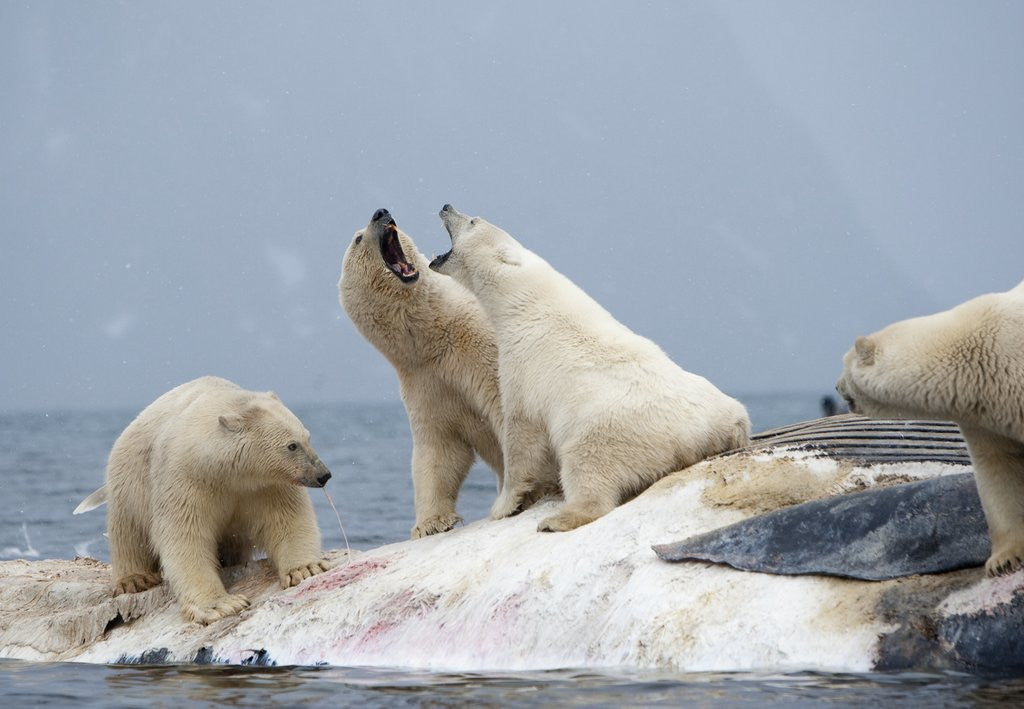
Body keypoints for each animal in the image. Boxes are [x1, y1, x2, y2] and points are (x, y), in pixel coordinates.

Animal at [82, 376, 333, 624]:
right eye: (291, 445)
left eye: (307, 437)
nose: (323, 475)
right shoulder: (186, 478)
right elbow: (185, 537)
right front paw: (223, 605)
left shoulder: (267, 485)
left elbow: (287, 519)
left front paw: (306, 569)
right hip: (129, 484)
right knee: (129, 532)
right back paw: (135, 579)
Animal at [340, 208, 557, 538]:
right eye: (358, 238)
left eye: (362, 231)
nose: (381, 213)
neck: (433, 333)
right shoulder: (425, 381)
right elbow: (439, 449)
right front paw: (430, 524)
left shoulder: (482, 349)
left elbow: (508, 412)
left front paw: (526, 493)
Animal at [430, 204, 752, 532]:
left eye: (472, 221)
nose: (446, 206)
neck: (525, 304)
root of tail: (703, 431)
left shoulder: (524, 362)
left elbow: (521, 433)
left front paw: (502, 505)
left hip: (612, 428)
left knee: (587, 466)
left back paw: (558, 519)